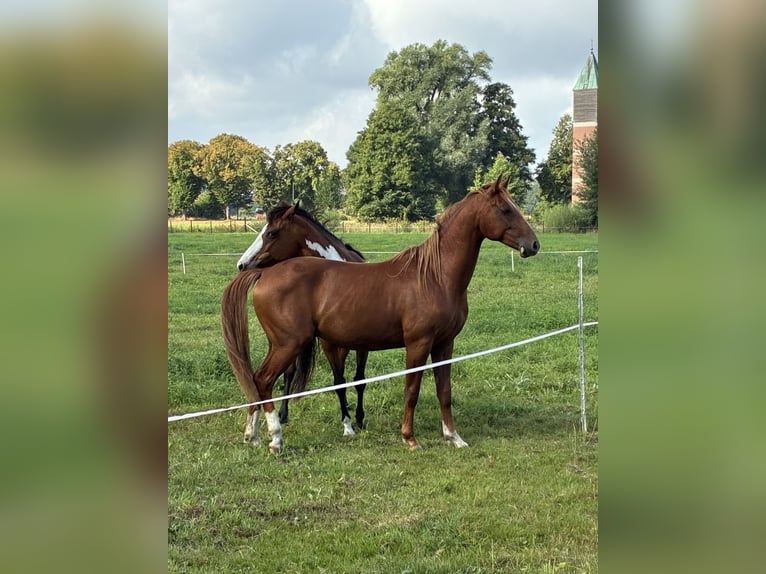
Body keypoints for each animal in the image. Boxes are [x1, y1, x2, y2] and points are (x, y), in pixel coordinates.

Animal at [235, 202, 369, 436]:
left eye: (271, 233)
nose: (241, 264)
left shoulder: (362, 345)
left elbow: (359, 380)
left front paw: (359, 419)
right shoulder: (328, 344)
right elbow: (339, 381)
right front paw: (348, 423)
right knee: (289, 373)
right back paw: (282, 414)